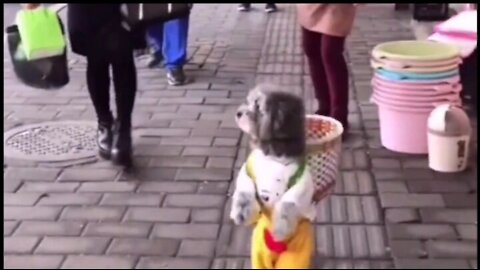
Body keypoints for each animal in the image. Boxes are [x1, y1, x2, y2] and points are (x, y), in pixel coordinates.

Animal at [229, 84, 316, 268]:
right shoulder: (248, 171)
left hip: (296, 253)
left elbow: (288, 204)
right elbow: (245, 192)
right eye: (249, 102)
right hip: (260, 251)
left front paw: (281, 230)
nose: (239, 113)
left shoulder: (300, 182)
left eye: (258, 106)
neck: (273, 156)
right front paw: (240, 214)